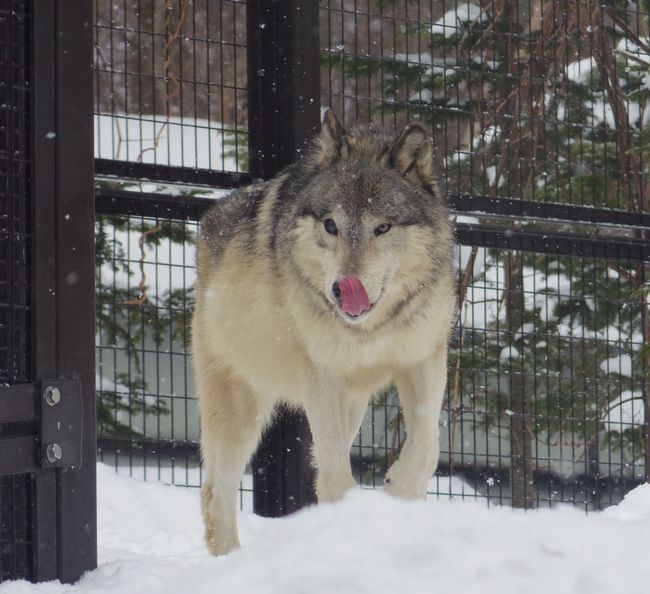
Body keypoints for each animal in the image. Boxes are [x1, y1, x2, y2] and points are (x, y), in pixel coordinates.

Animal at [191, 110, 456, 556]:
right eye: (331, 225)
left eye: (382, 228)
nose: (341, 288)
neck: (369, 330)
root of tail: (210, 219)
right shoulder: (320, 373)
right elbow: (333, 472)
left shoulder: (423, 359)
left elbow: (426, 448)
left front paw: (398, 492)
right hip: (240, 408)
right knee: (216, 493)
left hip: (353, 404)